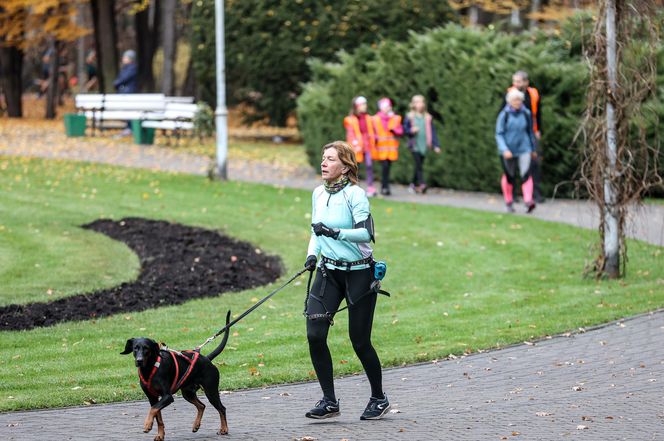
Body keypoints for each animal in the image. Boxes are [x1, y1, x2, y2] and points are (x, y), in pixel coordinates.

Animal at [121, 310, 231, 440]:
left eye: (146, 348)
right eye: (135, 348)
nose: (139, 361)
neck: (150, 369)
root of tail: (207, 359)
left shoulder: (167, 396)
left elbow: (153, 410)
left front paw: (148, 424)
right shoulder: (152, 398)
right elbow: (158, 417)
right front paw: (160, 435)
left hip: (211, 390)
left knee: (221, 408)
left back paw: (224, 429)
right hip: (188, 392)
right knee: (201, 406)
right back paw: (196, 425)